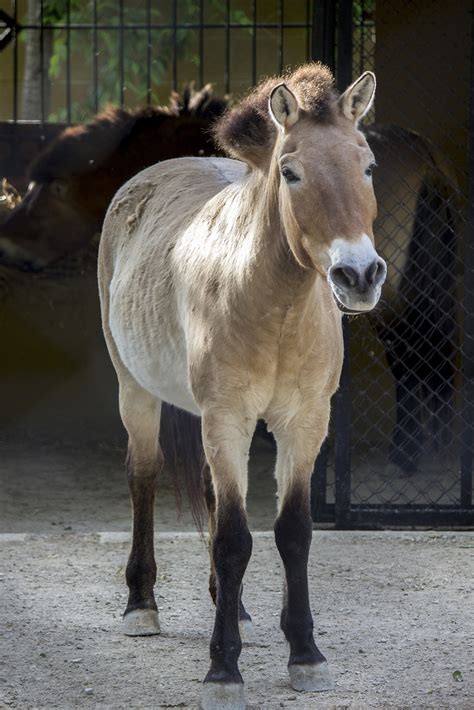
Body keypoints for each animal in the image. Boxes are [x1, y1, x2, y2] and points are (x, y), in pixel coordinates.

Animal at [99, 64, 386, 708]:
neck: (273, 306)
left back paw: (235, 610)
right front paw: (223, 670)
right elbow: (234, 538)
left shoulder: (305, 424)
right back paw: (140, 605)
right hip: (135, 390)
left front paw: (305, 655)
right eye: (291, 171)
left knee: (210, 495)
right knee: (143, 477)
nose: (359, 275)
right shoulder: (226, 417)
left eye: (368, 165)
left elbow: (292, 533)